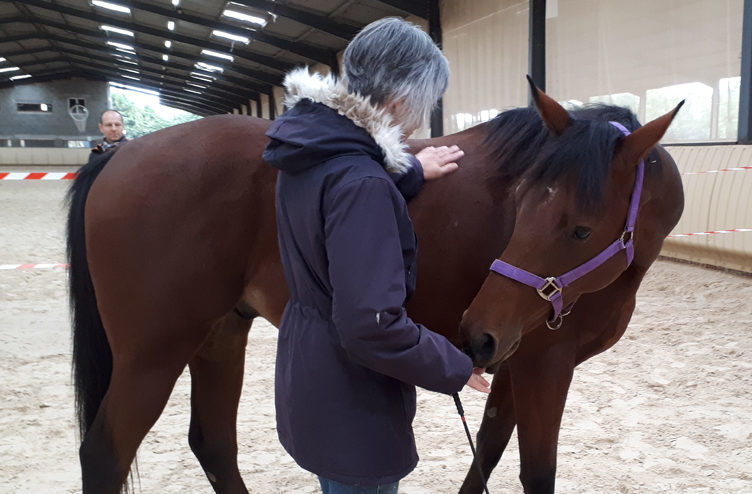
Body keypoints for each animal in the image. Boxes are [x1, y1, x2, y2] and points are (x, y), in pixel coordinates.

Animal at [67, 82, 684, 494]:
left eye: (579, 228)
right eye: (522, 203)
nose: (474, 332)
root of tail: (122, 155)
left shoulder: (512, 357)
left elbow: (486, 449)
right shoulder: (543, 364)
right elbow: (535, 471)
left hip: (219, 334)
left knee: (213, 442)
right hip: (153, 354)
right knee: (105, 452)